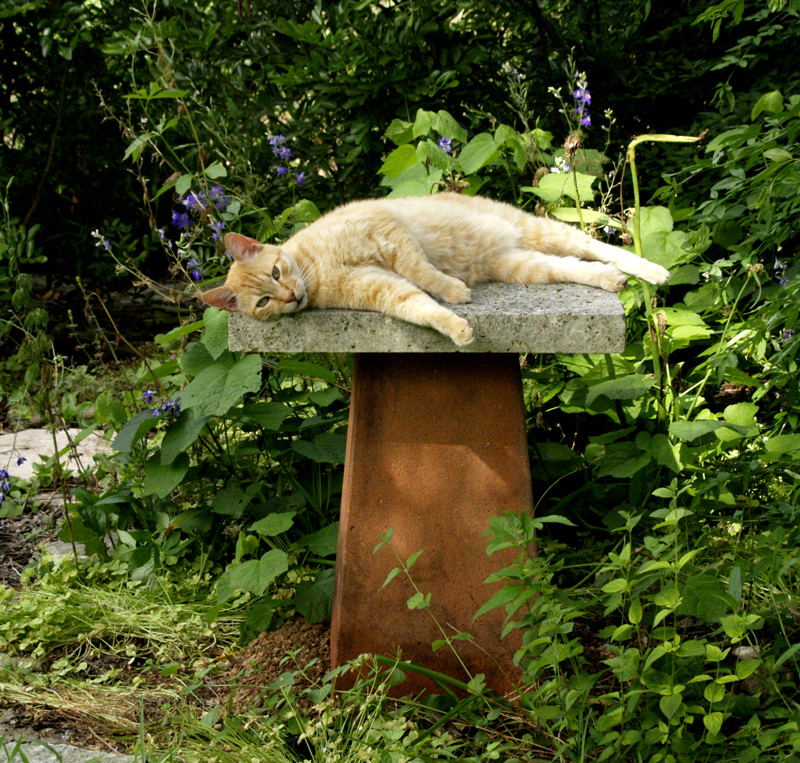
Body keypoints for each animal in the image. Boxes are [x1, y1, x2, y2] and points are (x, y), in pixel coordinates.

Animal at [200, 192, 668, 344]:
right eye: (263, 302)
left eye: (276, 273)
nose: (290, 297)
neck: (317, 268)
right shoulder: (382, 289)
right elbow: (419, 305)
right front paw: (457, 328)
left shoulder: (387, 232)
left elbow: (424, 273)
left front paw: (453, 289)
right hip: (524, 264)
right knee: (573, 266)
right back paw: (610, 280)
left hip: (539, 230)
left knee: (596, 244)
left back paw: (653, 271)